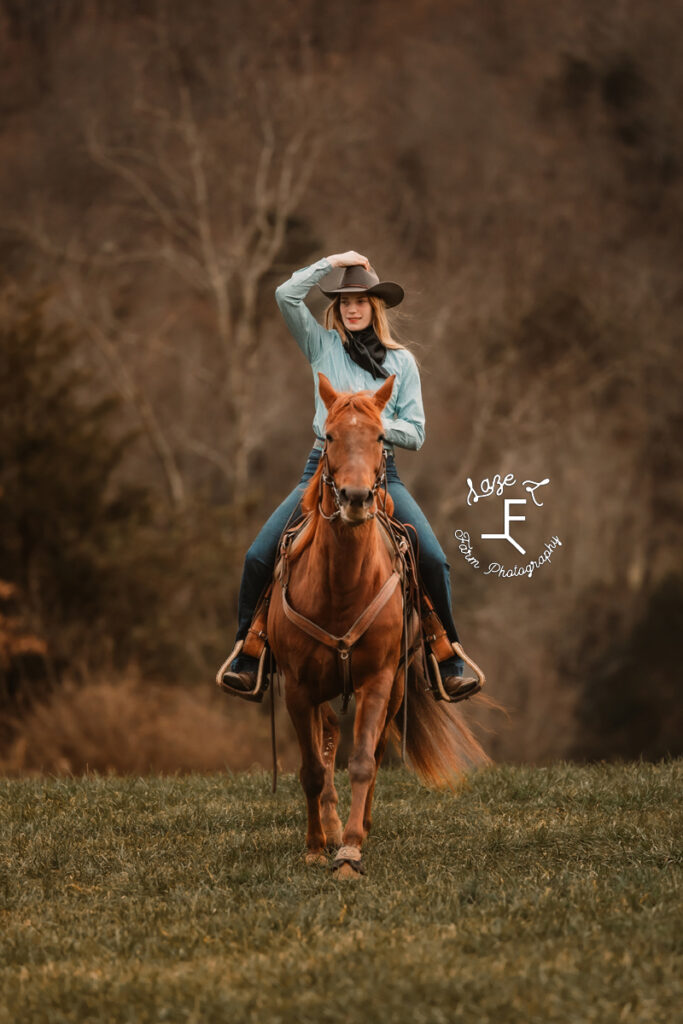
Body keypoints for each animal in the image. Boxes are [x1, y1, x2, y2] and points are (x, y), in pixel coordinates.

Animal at [270, 372, 489, 876]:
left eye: (380, 438)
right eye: (330, 436)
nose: (355, 498)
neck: (341, 586)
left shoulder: (377, 679)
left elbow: (364, 761)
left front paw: (350, 851)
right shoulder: (298, 687)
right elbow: (312, 768)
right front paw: (316, 845)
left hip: (397, 687)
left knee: (370, 749)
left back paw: (358, 828)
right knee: (328, 739)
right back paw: (330, 826)